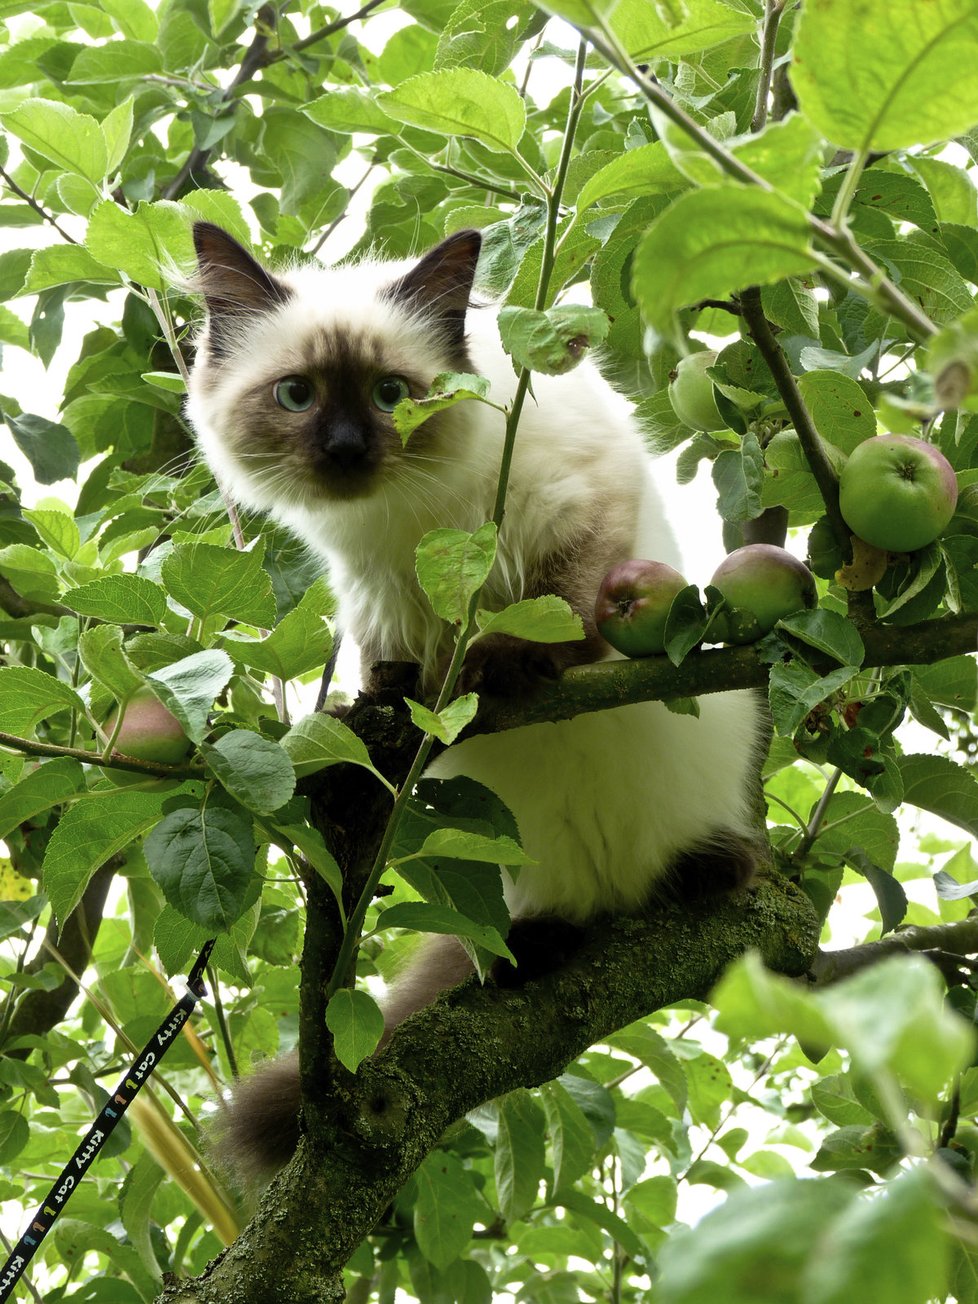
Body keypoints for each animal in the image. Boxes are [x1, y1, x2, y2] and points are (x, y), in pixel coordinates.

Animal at [185, 219, 766, 1178]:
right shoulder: (377, 588)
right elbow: (393, 681)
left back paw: (706, 869)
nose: (346, 452)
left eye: (391, 394)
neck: (406, 514)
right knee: (525, 924)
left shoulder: (579, 503)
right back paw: (531, 950)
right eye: (297, 396)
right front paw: (377, 722)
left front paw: (504, 666)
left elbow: (563, 605)